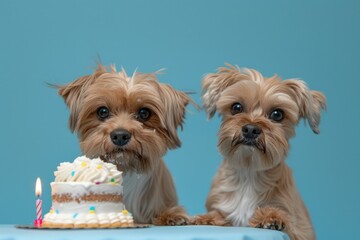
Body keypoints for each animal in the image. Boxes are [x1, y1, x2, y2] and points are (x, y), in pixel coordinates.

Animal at [194, 64, 326, 240]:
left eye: (277, 114)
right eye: (236, 107)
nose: (251, 128)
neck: (248, 173)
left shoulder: (301, 227)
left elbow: (287, 220)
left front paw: (271, 217)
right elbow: (218, 214)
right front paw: (205, 218)